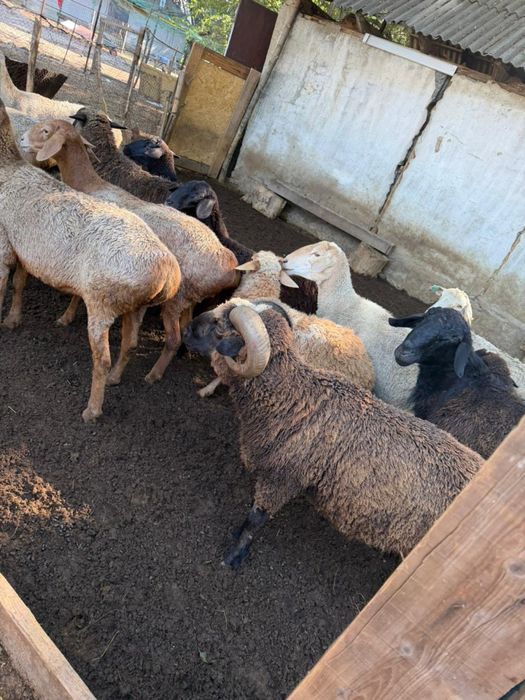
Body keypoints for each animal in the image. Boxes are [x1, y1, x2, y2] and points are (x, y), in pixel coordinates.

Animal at [0, 98, 181, 421]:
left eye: (46, 131)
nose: (22, 140)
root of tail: (169, 273)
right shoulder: (49, 262)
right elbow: (40, 288)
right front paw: (37, 318)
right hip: (135, 307)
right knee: (131, 345)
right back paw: (118, 378)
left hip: (104, 304)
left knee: (103, 360)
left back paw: (93, 409)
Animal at [21, 118, 239, 381]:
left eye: (46, 131)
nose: (22, 139)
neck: (90, 183)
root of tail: (230, 263)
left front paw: (66, 317)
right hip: (191, 300)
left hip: (177, 298)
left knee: (173, 338)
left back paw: (153, 375)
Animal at [183, 303, 483, 568]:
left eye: (218, 327)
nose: (185, 330)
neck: (293, 398)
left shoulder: (283, 478)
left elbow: (256, 518)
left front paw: (234, 555)